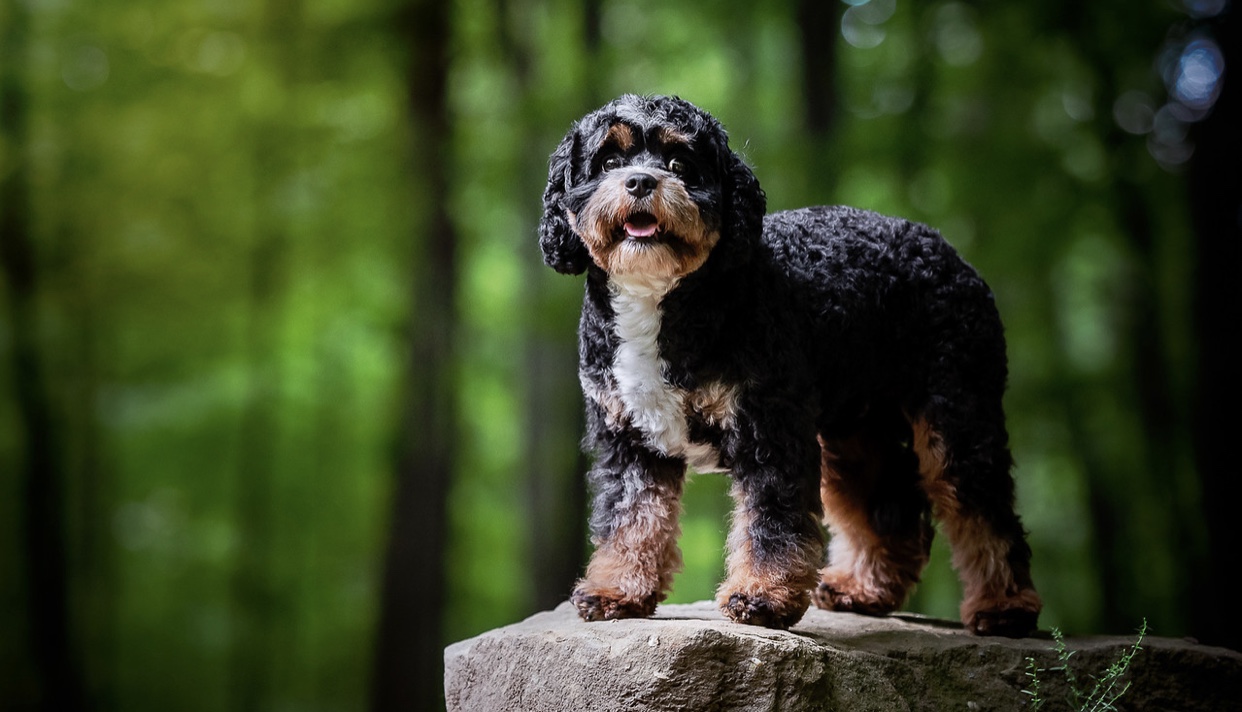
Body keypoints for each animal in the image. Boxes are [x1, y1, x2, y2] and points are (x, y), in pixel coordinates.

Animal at [539, 93, 1043, 633]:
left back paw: (1005, 607)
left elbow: (771, 521)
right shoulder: (629, 442)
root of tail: (950, 254)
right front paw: (617, 589)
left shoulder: (768, 428)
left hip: (957, 417)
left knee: (986, 513)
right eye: (609, 161)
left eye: (680, 164)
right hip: (859, 431)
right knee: (889, 508)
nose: (640, 181)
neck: (667, 301)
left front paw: (762, 596)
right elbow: (630, 518)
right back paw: (863, 589)